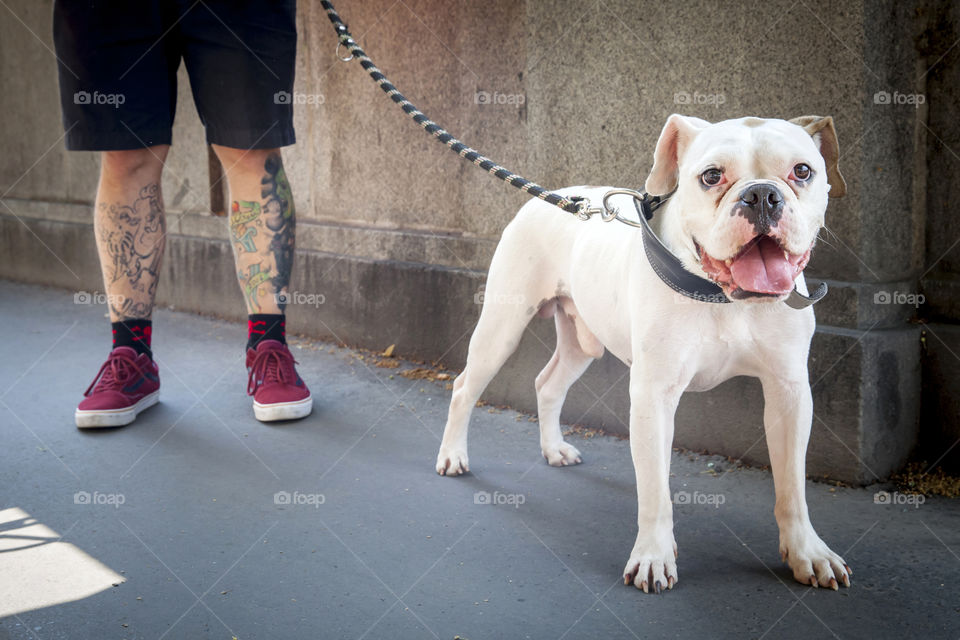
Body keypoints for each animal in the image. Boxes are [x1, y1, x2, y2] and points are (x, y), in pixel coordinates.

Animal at [436, 115, 848, 596]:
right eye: (712, 176)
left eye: (802, 171)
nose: (762, 195)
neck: (723, 296)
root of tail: (559, 196)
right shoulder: (654, 396)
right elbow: (654, 489)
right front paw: (653, 556)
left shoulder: (789, 392)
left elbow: (792, 486)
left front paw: (808, 552)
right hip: (501, 328)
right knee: (465, 387)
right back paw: (453, 456)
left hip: (582, 342)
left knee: (548, 384)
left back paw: (554, 448)